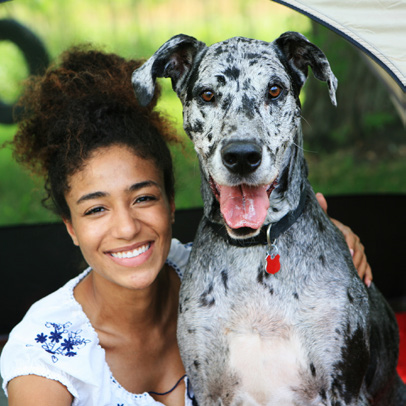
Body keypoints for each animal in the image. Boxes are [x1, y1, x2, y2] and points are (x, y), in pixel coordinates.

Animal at [132, 32, 404, 406]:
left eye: (274, 90)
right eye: (207, 94)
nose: (242, 155)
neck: (254, 250)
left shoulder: (344, 390)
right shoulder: (207, 390)